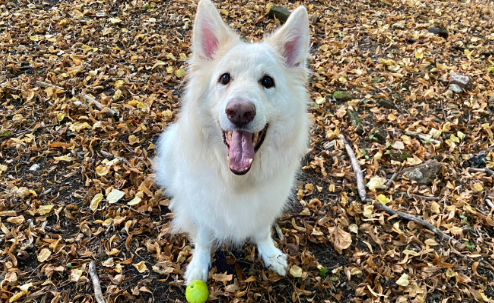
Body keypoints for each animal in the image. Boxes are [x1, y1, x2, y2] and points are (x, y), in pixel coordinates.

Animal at [153, 0, 308, 284]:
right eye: (225, 78)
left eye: (267, 81)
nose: (240, 111)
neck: (237, 180)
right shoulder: (204, 208)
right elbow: (203, 239)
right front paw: (198, 267)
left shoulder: (265, 206)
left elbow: (262, 231)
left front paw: (270, 254)